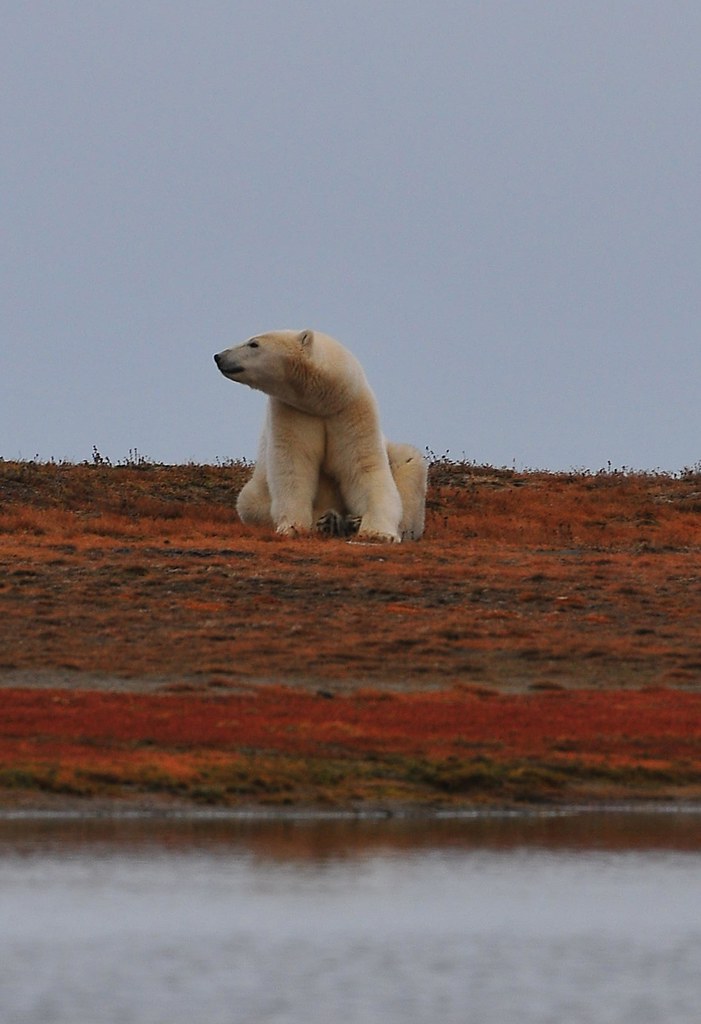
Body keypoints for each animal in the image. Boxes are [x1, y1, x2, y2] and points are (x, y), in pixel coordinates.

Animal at [214, 329, 427, 542]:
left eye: (253, 344)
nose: (219, 356)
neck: (323, 402)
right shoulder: (292, 413)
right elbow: (294, 465)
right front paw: (294, 527)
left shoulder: (352, 412)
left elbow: (364, 467)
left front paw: (379, 533)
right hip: (257, 489)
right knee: (248, 501)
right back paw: (331, 521)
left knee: (409, 464)